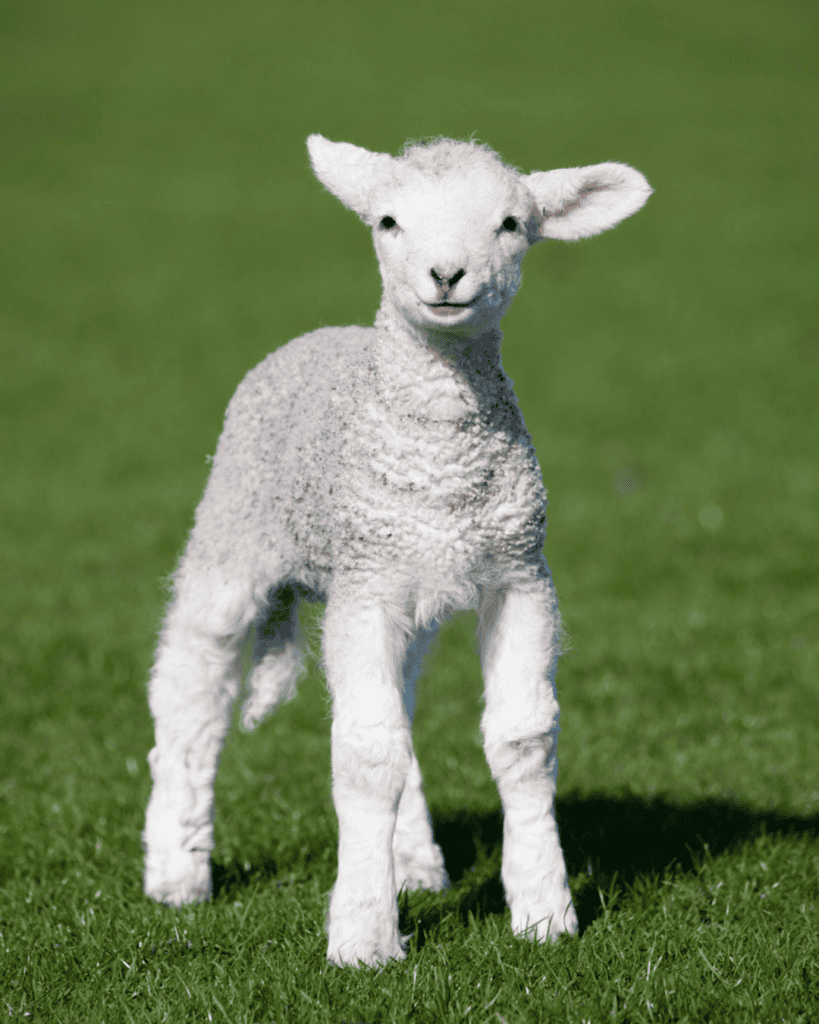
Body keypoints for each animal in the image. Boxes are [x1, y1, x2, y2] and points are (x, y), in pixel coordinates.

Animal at [142, 134, 652, 967]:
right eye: (387, 221)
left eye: (511, 223)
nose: (446, 275)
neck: (440, 451)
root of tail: (326, 333)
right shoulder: (367, 586)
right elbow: (365, 753)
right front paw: (362, 938)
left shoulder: (518, 573)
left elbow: (520, 738)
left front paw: (544, 912)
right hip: (233, 527)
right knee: (192, 687)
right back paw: (176, 874)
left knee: (399, 703)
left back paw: (413, 862)